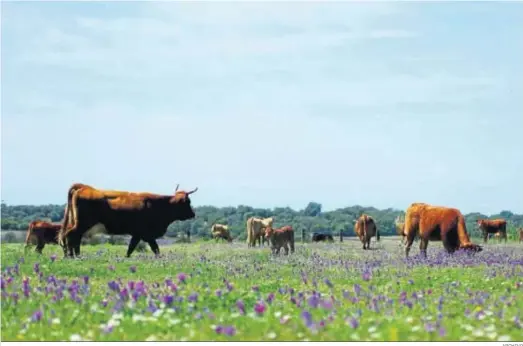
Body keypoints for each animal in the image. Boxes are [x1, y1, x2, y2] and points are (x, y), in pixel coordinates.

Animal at [57, 182, 196, 258]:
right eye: (188, 202)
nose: (193, 214)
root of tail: (85, 187)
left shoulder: (138, 234)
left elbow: (131, 248)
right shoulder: (146, 234)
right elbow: (155, 248)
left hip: (78, 223)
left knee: (73, 237)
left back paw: (75, 255)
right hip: (82, 224)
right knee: (70, 236)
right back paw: (71, 256)